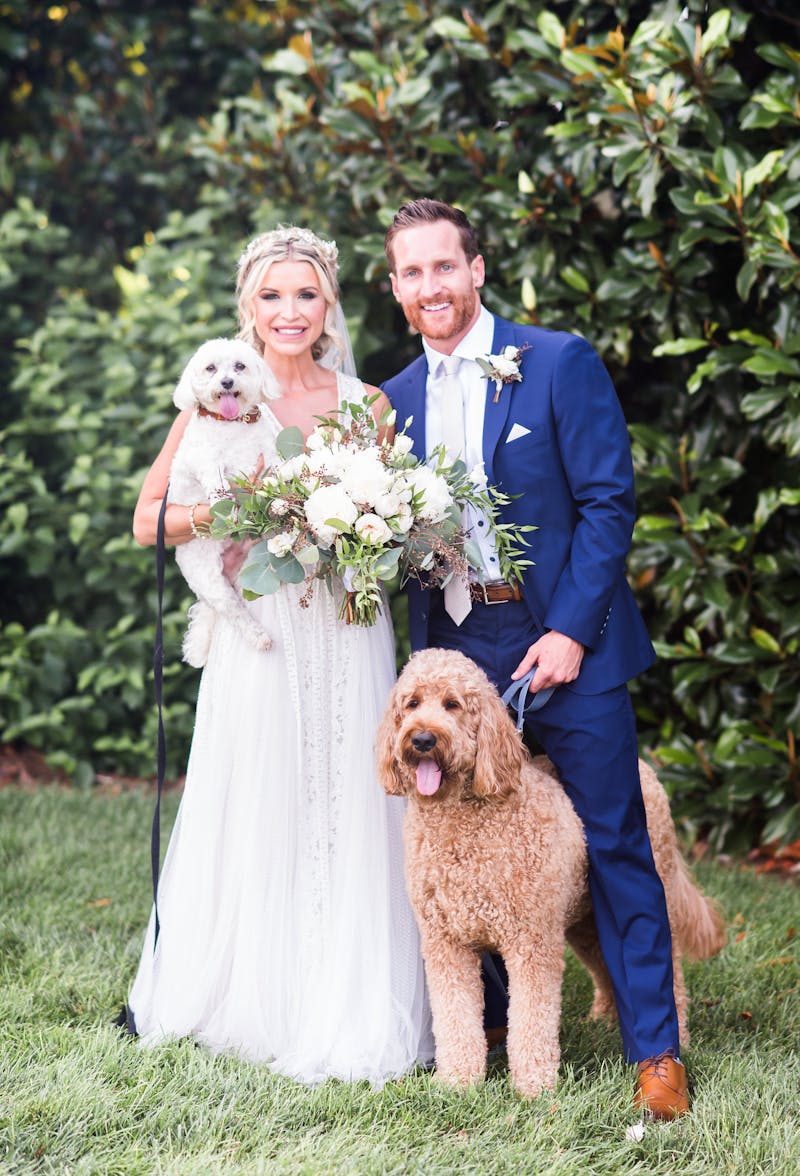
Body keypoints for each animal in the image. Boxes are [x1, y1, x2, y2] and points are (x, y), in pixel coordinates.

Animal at [168, 341, 277, 667]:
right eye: (211, 368)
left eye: (240, 366)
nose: (227, 382)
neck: (232, 423)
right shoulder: (205, 458)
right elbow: (215, 480)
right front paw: (224, 504)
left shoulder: (266, 452)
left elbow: (280, 469)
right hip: (210, 582)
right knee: (234, 612)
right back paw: (260, 637)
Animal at [374, 649, 724, 1096]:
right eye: (412, 703)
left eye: (452, 704)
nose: (421, 740)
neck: (462, 822)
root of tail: (646, 767)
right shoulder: (446, 944)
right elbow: (455, 1017)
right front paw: (458, 1081)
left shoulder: (531, 942)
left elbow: (532, 1018)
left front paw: (534, 1087)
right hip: (583, 921)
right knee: (605, 966)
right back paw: (604, 1018)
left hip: (643, 883)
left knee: (668, 969)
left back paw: (671, 1044)